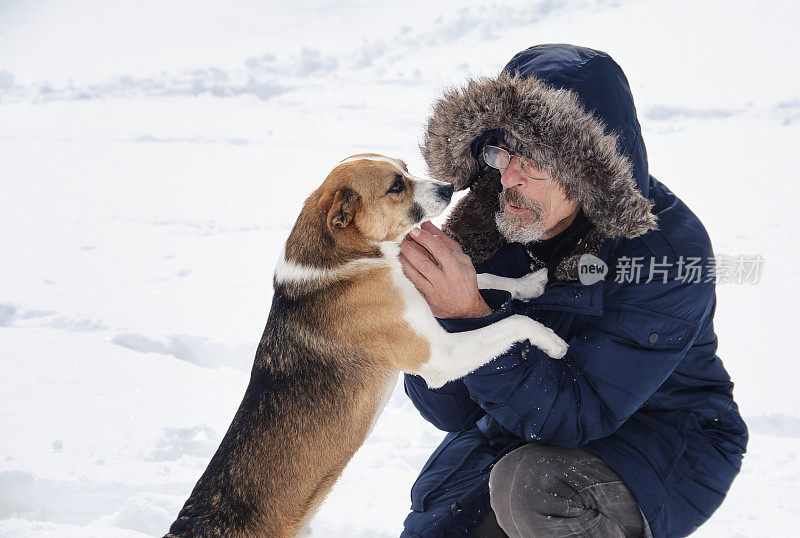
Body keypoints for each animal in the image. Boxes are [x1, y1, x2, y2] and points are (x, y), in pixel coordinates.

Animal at [166, 152, 568, 536]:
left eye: (406, 167)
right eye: (396, 186)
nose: (448, 188)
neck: (354, 256)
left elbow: (480, 276)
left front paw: (527, 284)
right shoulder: (440, 355)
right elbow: (512, 321)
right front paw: (551, 341)